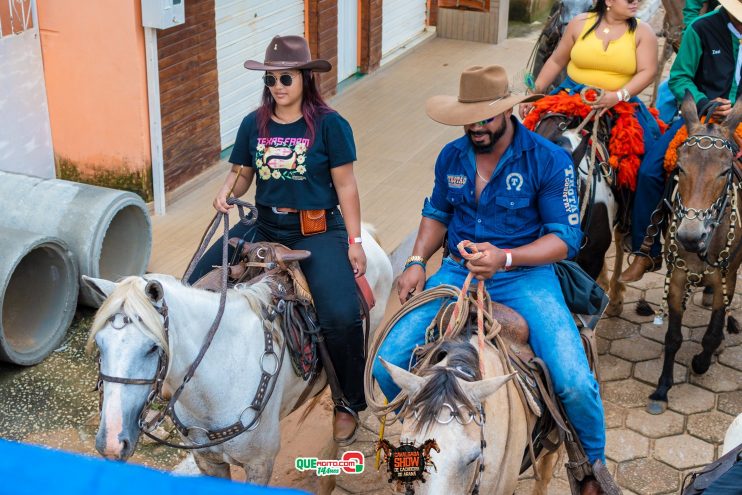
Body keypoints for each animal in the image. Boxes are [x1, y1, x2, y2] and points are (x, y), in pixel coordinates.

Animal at [83, 229, 396, 488]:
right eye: (99, 344)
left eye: (152, 347)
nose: (111, 442)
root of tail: (367, 234)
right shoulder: (208, 462)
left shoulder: (259, 464)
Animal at [644, 93, 742, 414]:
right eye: (681, 168)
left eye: (724, 172)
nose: (689, 235)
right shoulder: (677, 277)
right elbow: (672, 337)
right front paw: (662, 389)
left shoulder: (727, 278)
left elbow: (711, 333)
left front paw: (701, 361)